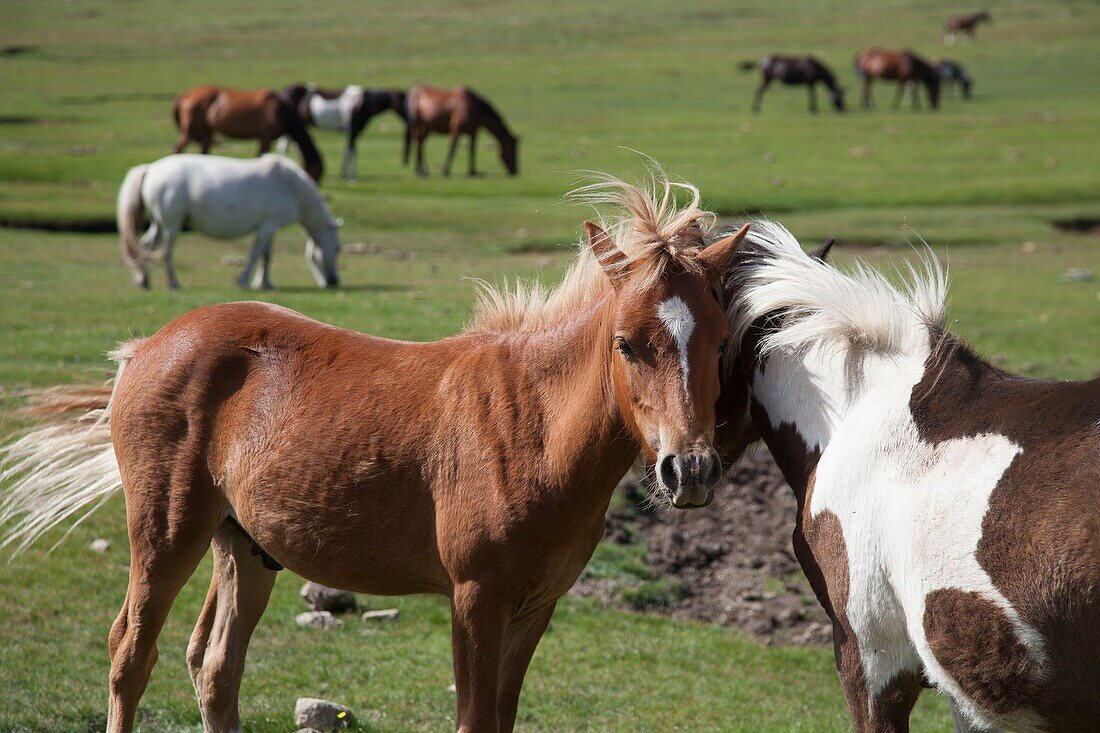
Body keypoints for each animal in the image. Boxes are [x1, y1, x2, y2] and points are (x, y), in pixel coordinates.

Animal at [0, 172, 748, 730]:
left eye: (720, 341)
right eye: (626, 343)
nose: (689, 470)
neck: (531, 425)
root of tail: (147, 347)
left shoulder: (535, 608)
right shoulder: (476, 600)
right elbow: (474, 721)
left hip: (244, 544)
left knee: (214, 667)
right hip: (166, 531)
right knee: (131, 652)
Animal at [115, 152, 338, 288]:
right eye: (336, 250)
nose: (333, 281)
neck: (290, 186)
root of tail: (151, 168)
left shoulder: (270, 227)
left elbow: (266, 255)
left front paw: (264, 282)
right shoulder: (268, 225)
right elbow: (256, 254)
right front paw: (244, 280)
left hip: (159, 223)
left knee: (144, 245)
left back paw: (142, 278)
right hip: (172, 224)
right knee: (166, 252)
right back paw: (172, 283)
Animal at [171, 84, 323, 181]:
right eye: (317, 172)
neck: (281, 111)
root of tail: (185, 95)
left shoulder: (263, 139)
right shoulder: (266, 138)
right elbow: (260, 156)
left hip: (206, 133)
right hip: (189, 132)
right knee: (178, 149)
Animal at [279, 81, 409, 179]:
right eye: (402, 102)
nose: (409, 117)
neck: (362, 103)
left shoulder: (351, 132)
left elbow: (347, 151)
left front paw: (344, 173)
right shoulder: (353, 131)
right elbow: (352, 151)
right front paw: (352, 176)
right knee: (287, 147)